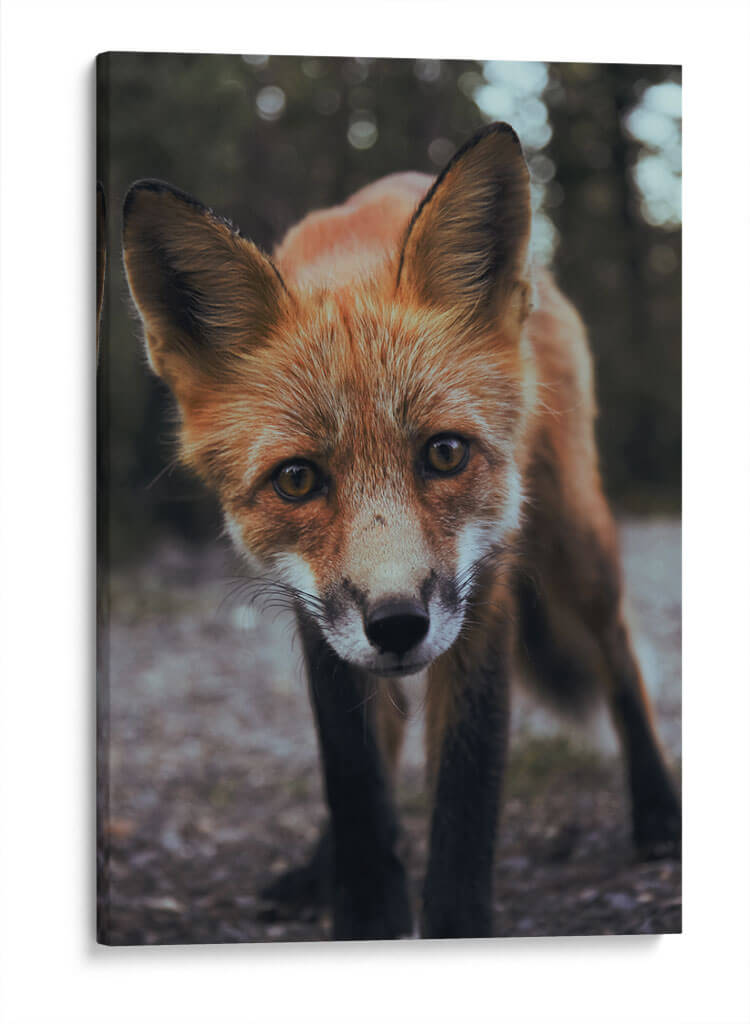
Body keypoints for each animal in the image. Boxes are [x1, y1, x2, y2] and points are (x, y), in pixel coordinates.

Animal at [122, 122, 680, 940]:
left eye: (444, 453)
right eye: (297, 479)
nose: (396, 625)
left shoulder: (485, 593)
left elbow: (466, 796)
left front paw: (453, 923)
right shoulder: (315, 614)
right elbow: (354, 776)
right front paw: (362, 909)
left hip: (575, 540)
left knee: (620, 658)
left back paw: (659, 812)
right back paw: (317, 868)